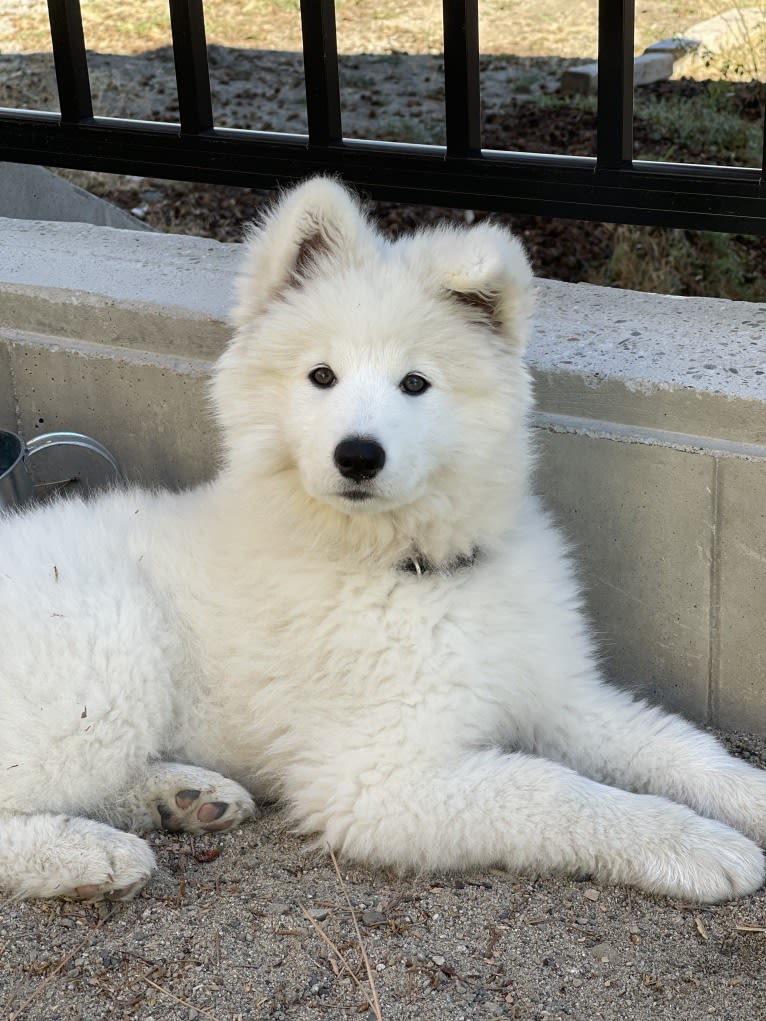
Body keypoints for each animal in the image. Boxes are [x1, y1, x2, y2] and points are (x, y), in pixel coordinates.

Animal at [1, 177, 766, 902]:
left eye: (415, 383)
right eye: (321, 375)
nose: (358, 456)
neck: (410, 566)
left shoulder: (558, 694)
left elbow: (675, 742)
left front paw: (748, 798)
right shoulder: (378, 779)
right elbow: (553, 790)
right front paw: (693, 845)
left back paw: (185, 796)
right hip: (107, 661)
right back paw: (92, 855)